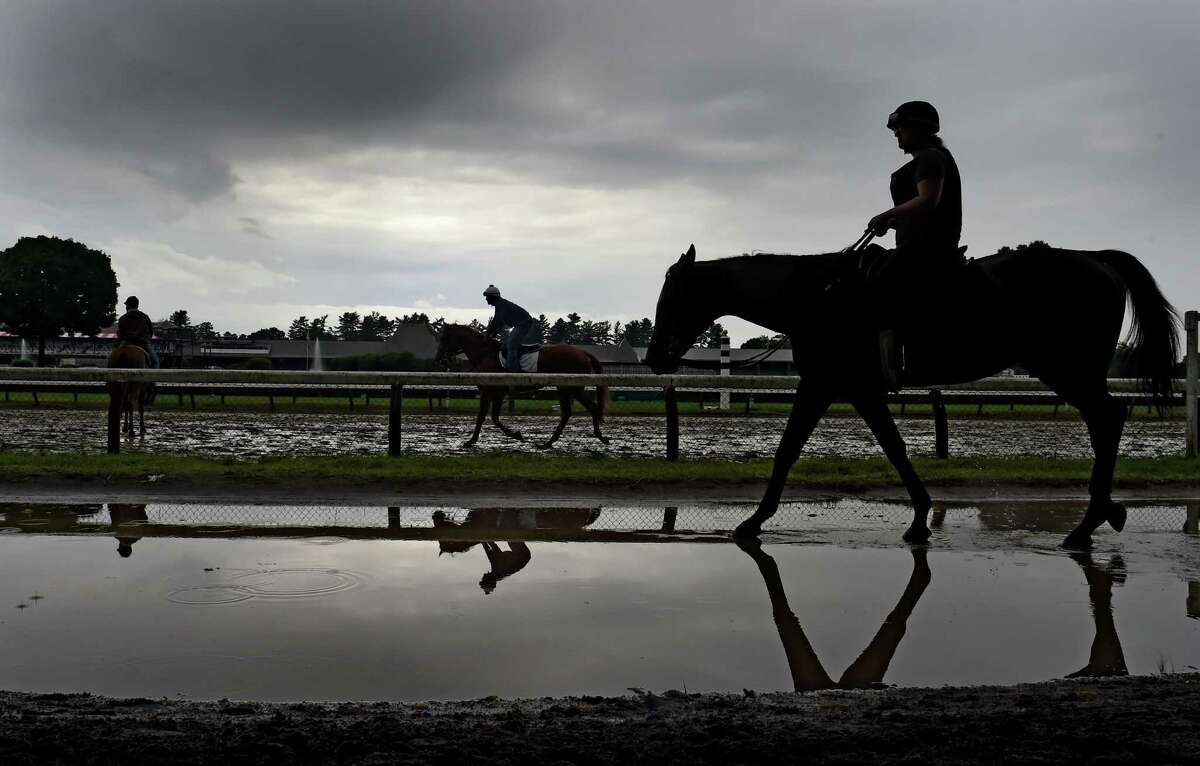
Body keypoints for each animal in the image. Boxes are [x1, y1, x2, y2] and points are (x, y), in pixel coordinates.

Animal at [434, 324, 609, 451]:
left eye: (443, 338)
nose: (439, 360)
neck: (484, 354)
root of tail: (583, 352)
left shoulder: (489, 392)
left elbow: (482, 417)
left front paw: (471, 441)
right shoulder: (498, 393)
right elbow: (494, 418)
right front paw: (517, 435)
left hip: (573, 388)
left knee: (589, 408)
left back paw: (599, 437)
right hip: (565, 389)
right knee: (568, 413)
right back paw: (549, 443)